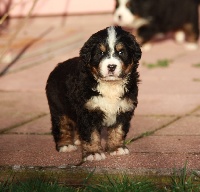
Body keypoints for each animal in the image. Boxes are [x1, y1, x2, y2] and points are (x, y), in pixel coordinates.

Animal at [46, 26, 141, 161]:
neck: (110, 85)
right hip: (58, 107)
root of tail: (57, 67)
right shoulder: (87, 111)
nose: (111, 66)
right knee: (61, 126)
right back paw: (65, 145)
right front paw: (94, 153)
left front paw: (117, 148)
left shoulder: (123, 109)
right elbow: (91, 134)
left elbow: (118, 130)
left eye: (121, 52)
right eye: (100, 53)